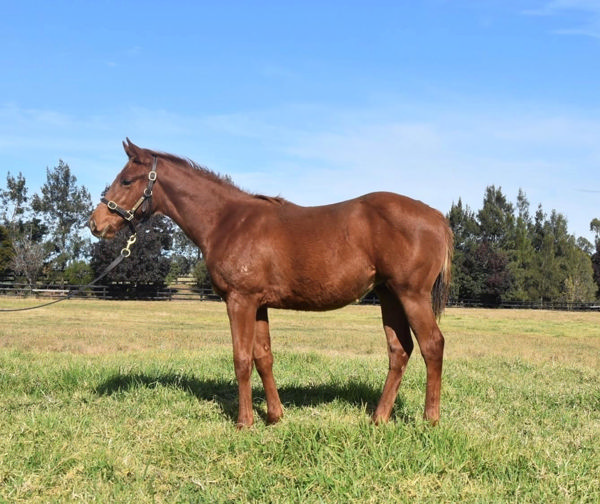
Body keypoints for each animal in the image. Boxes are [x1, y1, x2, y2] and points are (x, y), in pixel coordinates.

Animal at [89, 140, 452, 428]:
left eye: (126, 180)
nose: (96, 223)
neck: (227, 221)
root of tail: (436, 217)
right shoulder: (259, 303)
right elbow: (263, 357)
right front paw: (275, 416)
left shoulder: (240, 300)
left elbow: (241, 359)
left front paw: (244, 422)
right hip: (389, 295)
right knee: (399, 350)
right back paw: (379, 418)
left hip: (411, 295)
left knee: (432, 345)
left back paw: (430, 420)